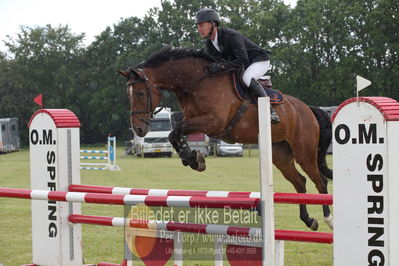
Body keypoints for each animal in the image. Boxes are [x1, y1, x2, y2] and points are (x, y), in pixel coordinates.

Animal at [119, 46, 334, 231]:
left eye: (140, 93)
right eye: (128, 96)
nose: (138, 129)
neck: (197, 82)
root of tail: (307, 109)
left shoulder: (214, 122)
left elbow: (175, 131)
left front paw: (194, 158)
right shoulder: (194, 121)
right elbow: (176, 135)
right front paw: (193, 158)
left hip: (304, 152)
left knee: (320, 180)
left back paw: (328, 219)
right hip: (280, 154)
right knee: (300, 181)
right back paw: (309, 220)